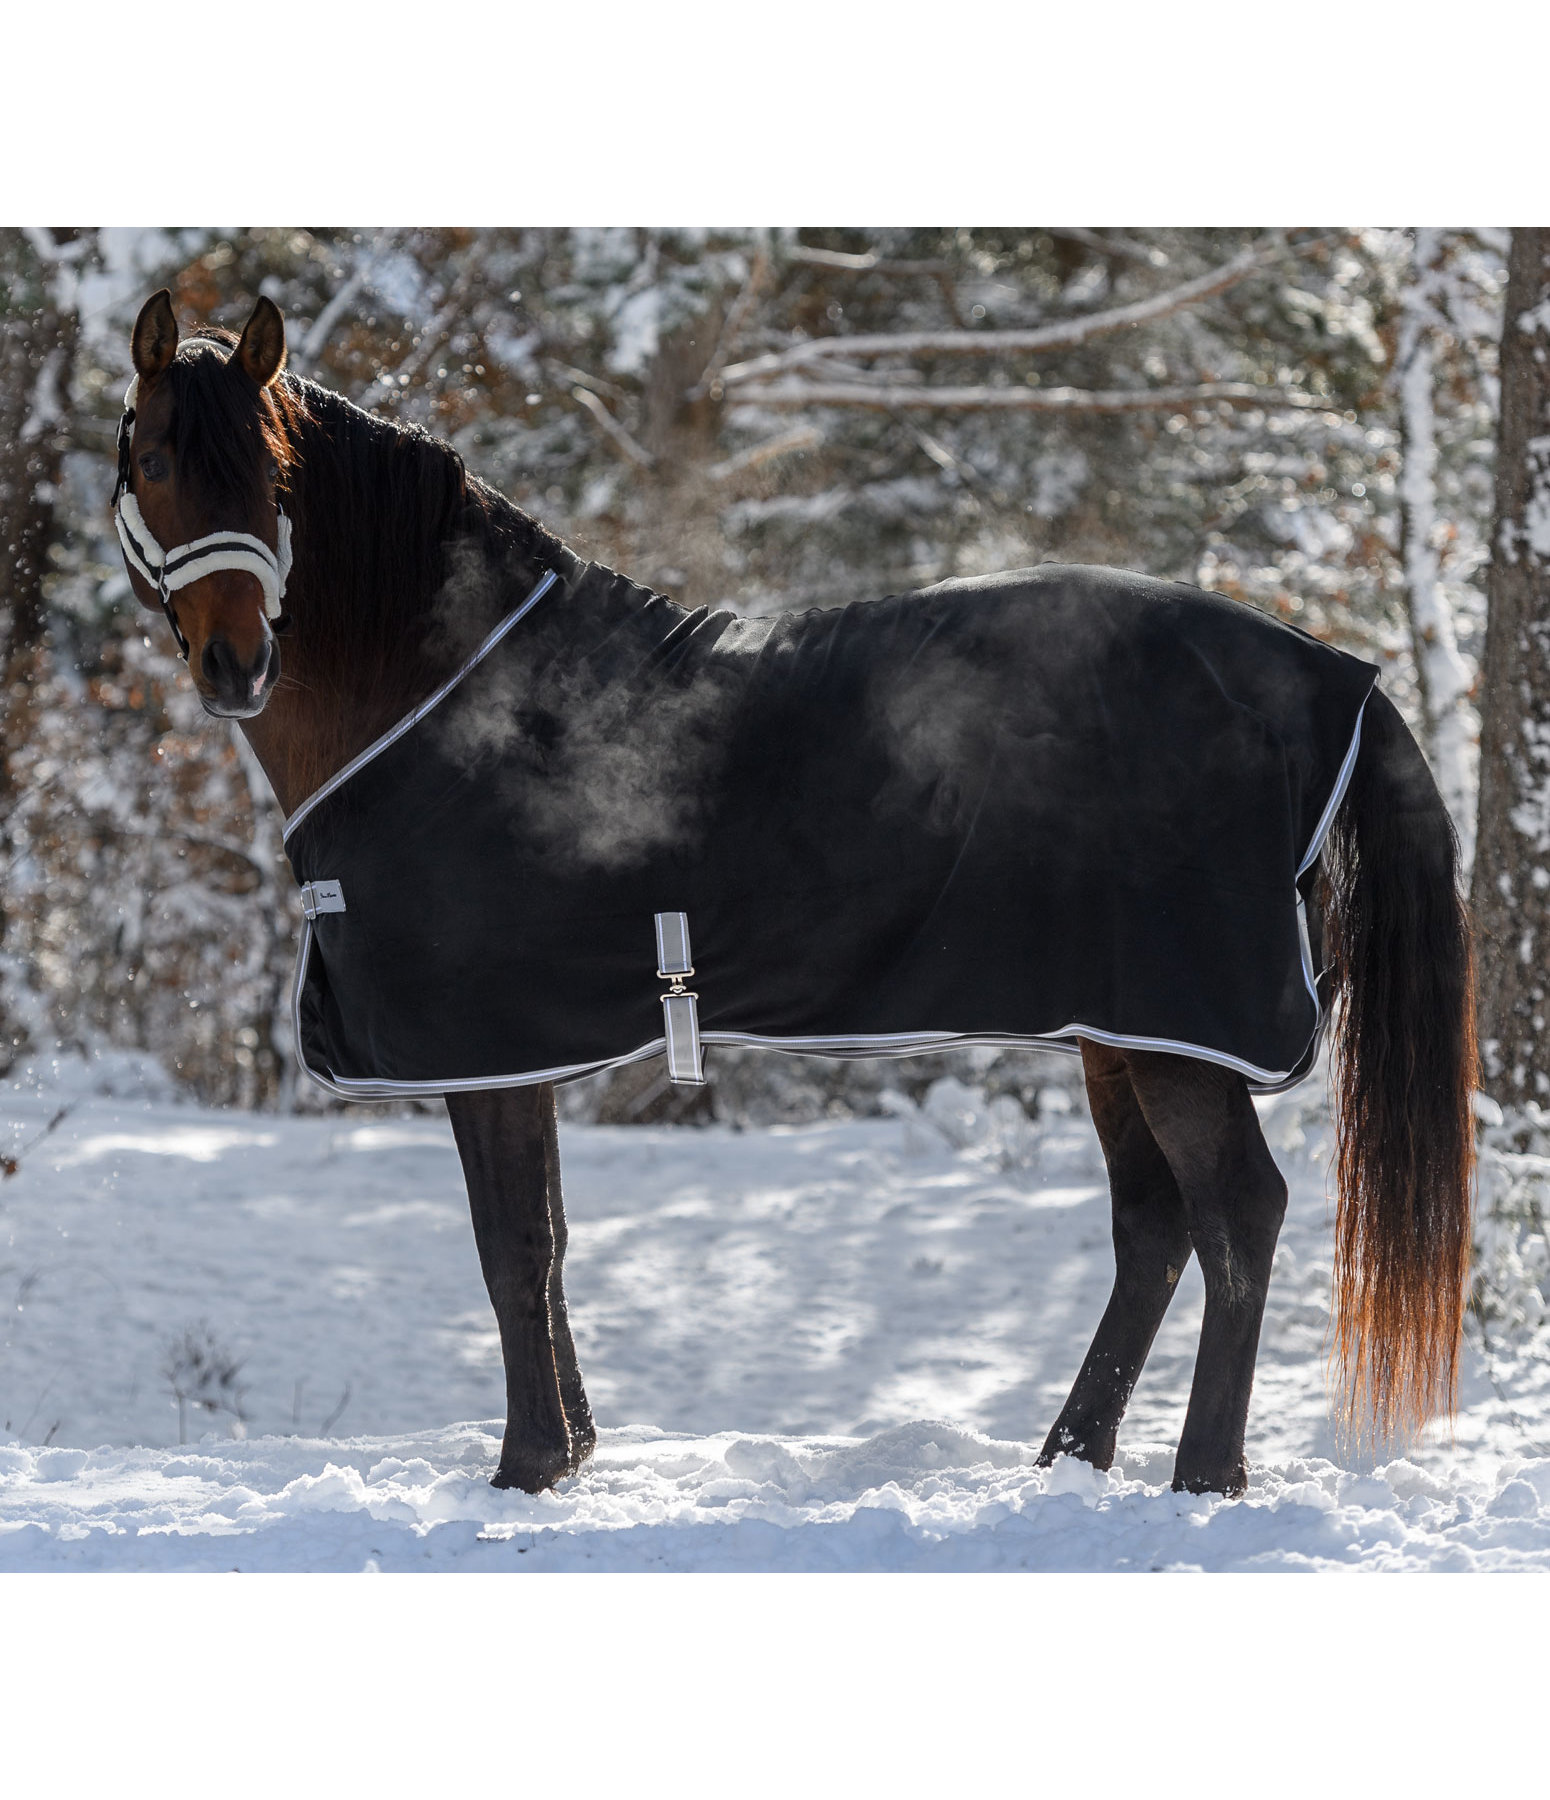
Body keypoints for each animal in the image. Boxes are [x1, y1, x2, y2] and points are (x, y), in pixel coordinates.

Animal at [109, 288, 1477, 1498]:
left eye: (275, 477)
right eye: (159, 459)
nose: (236, 664)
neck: (436, 682)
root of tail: (1327, 671)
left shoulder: (487, 1046)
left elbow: (513, 1251)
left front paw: (527, 1469)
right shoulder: (518, 1051)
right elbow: (547, 1246)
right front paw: (573, 1454)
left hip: (1176, 1029)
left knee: (1236, 1214)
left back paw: (1200, 1479)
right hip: (1117, 1027)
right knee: (1153, 1227)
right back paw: (1066, 1462)